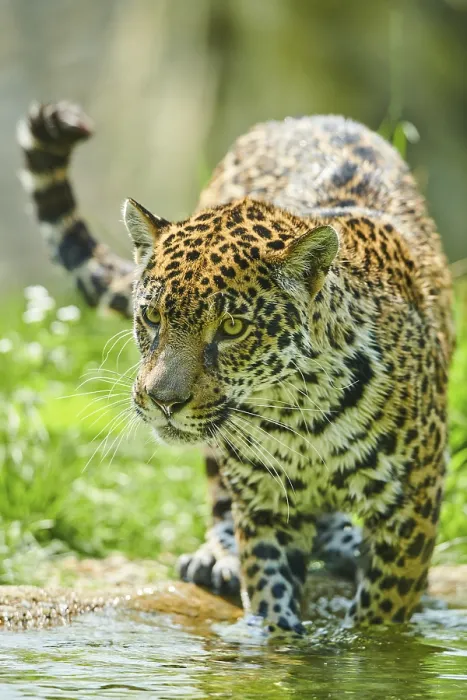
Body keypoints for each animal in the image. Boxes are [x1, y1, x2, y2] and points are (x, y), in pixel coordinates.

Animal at [17, 101, 453, 634]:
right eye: (152, 316)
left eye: (230, 328)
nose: (163, 402)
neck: (300, 416)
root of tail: (297, 119)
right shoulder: (266, 505)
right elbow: (271, 606)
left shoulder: (409, 506)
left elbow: (379, 620)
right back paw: (217, 558)